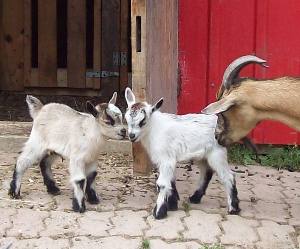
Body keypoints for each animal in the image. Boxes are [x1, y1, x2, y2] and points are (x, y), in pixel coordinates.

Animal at [123, 88, 239, 220]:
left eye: (142, 121)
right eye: (126, 119)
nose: (131, 135)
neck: (154, 129)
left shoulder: (166, 159)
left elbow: (162, 184)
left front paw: (159, 212)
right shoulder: (167, 160)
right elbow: (171, 181)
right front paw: (172, 205)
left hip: (217, 152)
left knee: (228, 176)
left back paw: (233, 208)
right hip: (202, 155)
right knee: (206, 172)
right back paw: (195, 198)